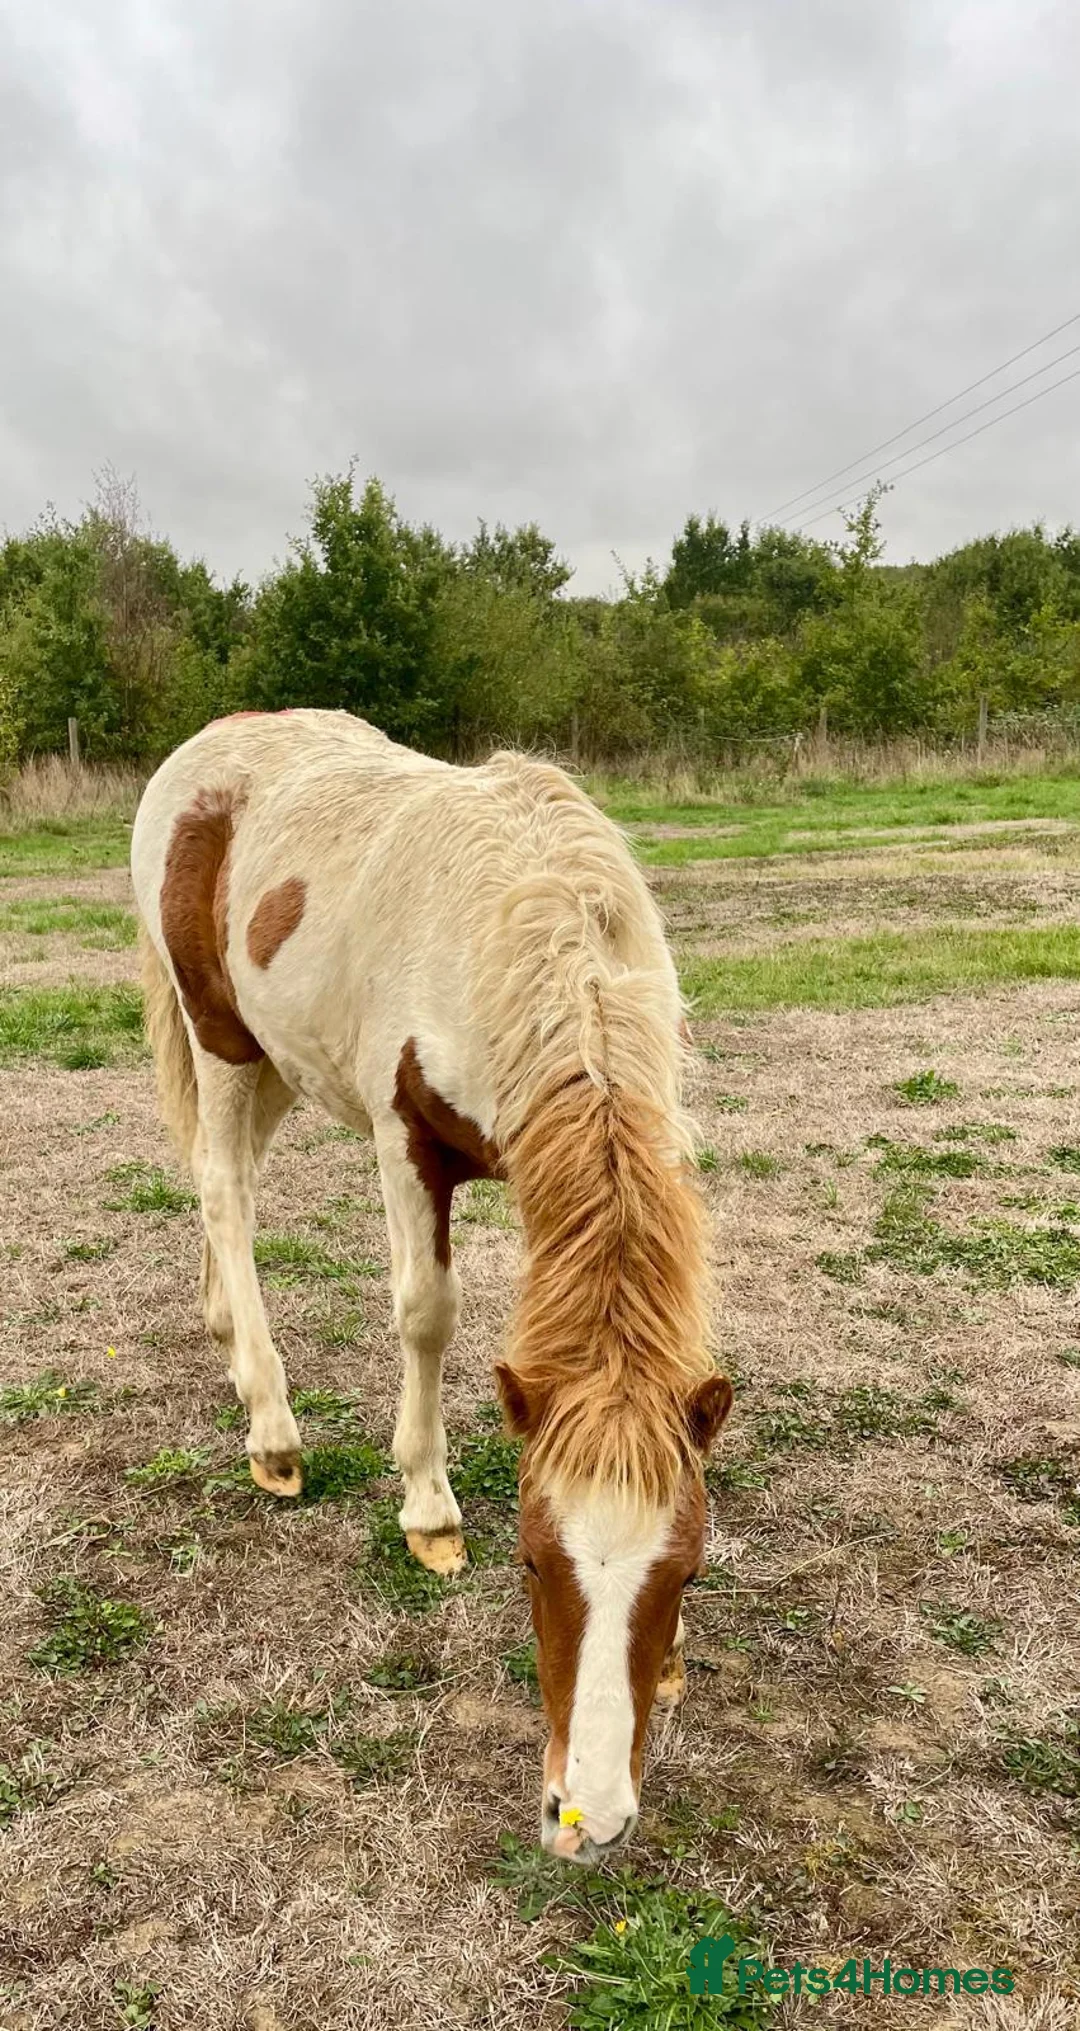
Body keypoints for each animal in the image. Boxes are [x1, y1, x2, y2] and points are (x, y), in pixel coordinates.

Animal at [130, 708, 732, 1861]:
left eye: (683, 1572)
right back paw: (271, 1430)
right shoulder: (406, 1142)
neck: (519, 932)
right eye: (532, 1562)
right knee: (226, 1188)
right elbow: (426, 1315)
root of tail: (214, 741)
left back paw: (227, 1338)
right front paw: (428, 1510)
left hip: (277, 1058)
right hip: (219, 1033)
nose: (587, 1817)